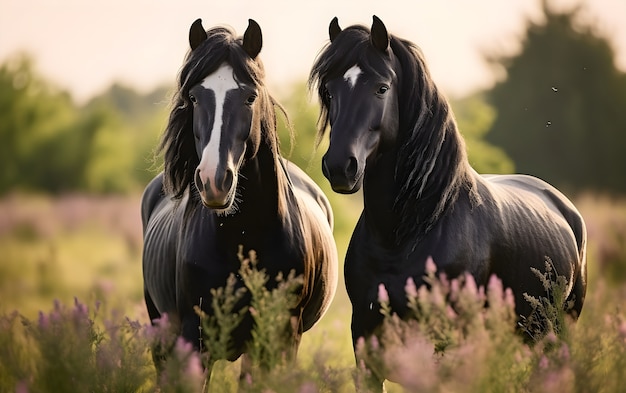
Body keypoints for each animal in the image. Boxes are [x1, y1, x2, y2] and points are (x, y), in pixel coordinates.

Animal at [141, 18, 336, 380]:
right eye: (194, 96)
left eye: (249, 97)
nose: (214, 181)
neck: (246, 236)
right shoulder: (195, 339)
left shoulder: (281, 337)